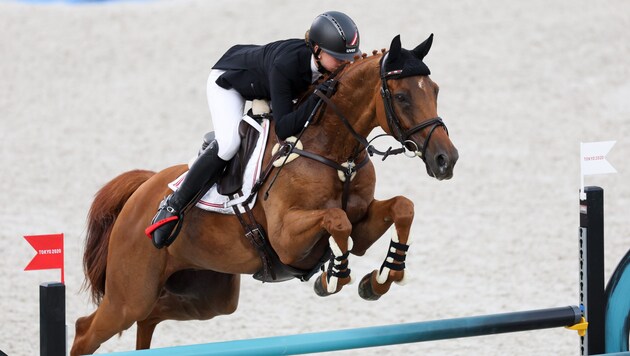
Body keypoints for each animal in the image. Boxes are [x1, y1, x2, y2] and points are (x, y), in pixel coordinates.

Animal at [71, 33, 462, 354]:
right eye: (402, 97)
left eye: (435, 90)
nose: (446, 160)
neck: (334, 151)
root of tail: (142, 192)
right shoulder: (287, 239)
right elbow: (337, 221)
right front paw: (333, 276)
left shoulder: (363, 222)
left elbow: (401, 208)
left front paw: (381, 278)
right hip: (130, 294)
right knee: (86, 330)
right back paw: (166, 217)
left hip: (209, 296)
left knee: (151, 316)